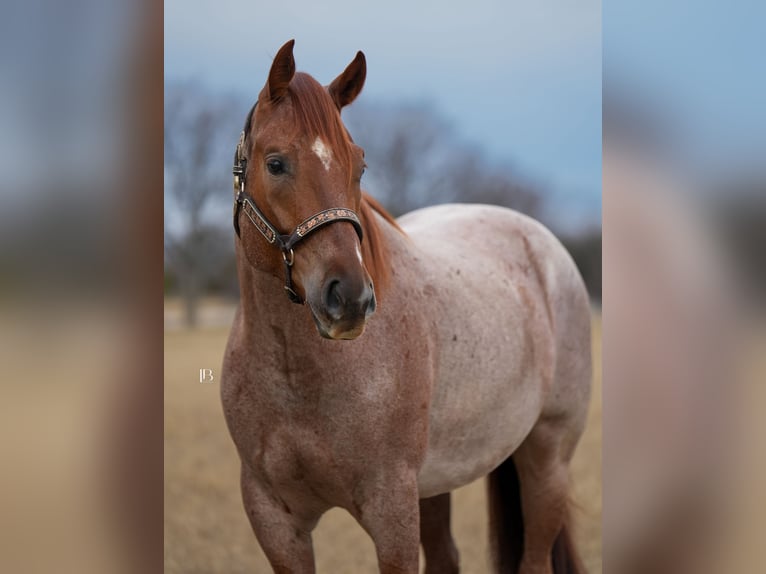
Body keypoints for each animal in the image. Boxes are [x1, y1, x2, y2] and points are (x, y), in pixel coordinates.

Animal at [221, 39, 592, 574]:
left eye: (359, 166)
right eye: (275, 163)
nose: (351, 299)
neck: (298, 381)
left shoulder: (391, 508)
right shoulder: (274, 518)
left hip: (548, 460)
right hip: (435, 483)